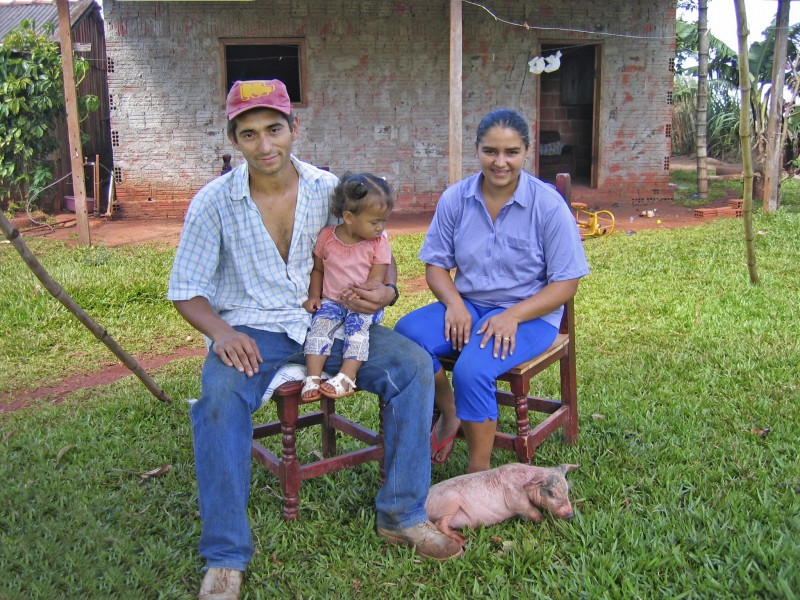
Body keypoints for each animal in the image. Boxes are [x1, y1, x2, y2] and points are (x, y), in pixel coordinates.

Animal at [422, 462, 580, 548]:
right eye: (551, 492)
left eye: (566, 490)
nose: (570, 514)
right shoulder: (515, 499)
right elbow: (530, 510)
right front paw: (544, 521)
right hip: (449, 502)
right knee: (439, 524)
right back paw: (462, 539)